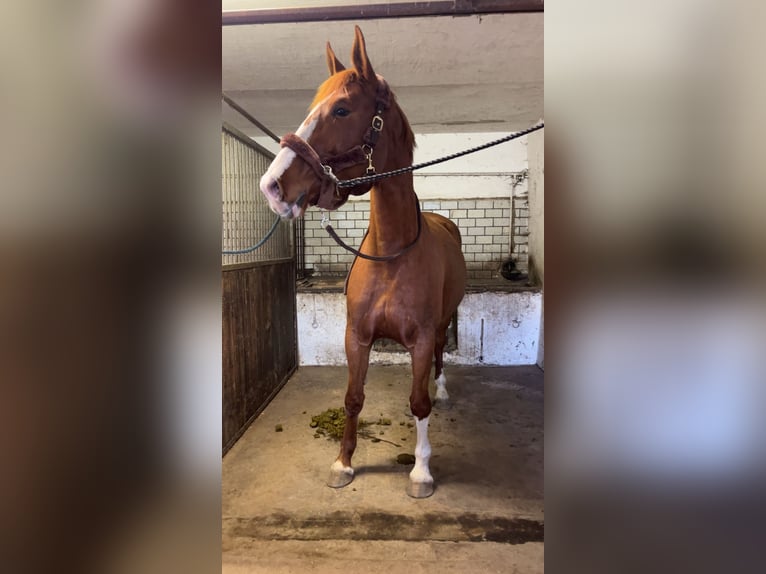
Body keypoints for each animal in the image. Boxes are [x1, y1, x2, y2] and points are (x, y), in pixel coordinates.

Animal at [260, 26, 466, 498]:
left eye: (341, 109)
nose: (272, 185)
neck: (391, 253)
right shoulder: (357, 336)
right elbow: (353, 398)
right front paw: (343, 462)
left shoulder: (420, 339)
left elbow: (419, 402)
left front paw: (421, 471)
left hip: (444, 321)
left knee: (441, 356)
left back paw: (443, 389)